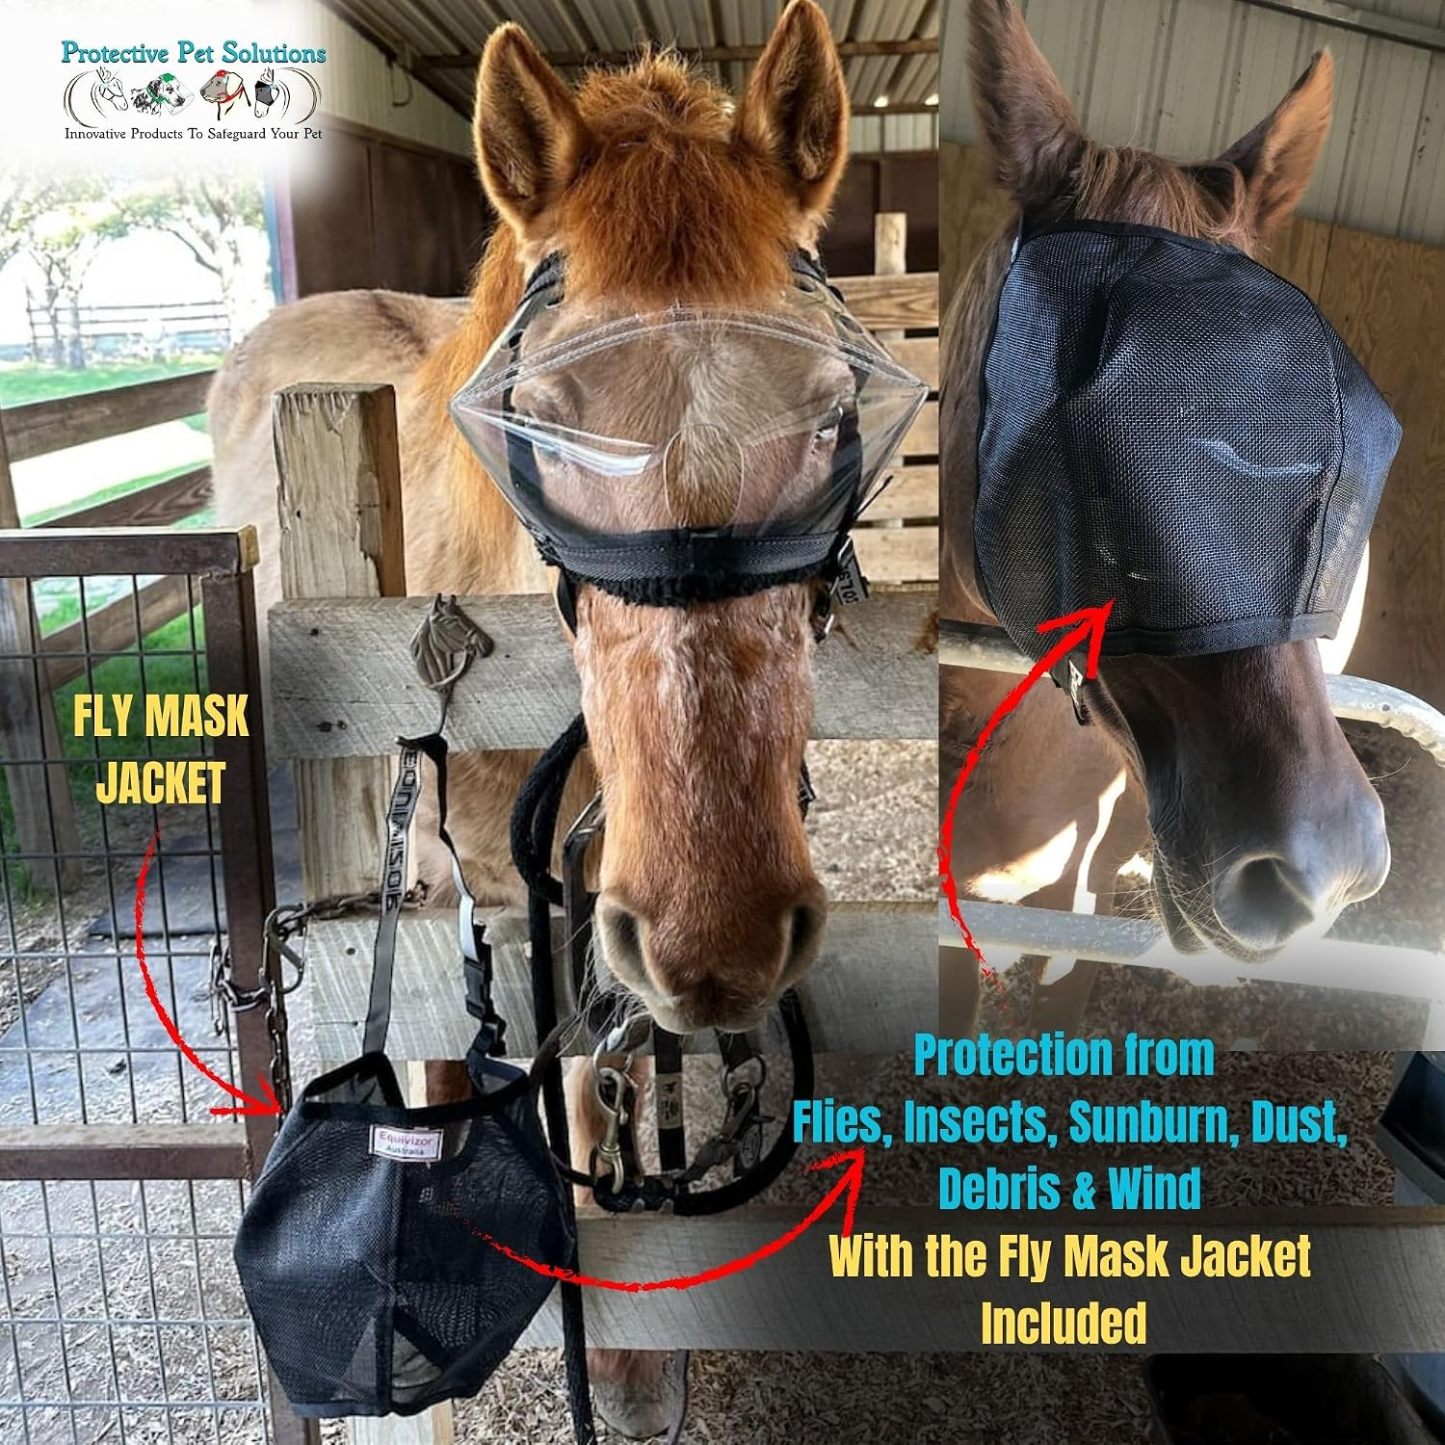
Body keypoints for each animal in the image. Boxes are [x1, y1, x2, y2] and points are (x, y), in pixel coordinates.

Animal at [210, 2, 851, 1430]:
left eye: (836, 407)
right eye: (540, 420)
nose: (722, 927)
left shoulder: (594, 891)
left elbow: (598, 1072)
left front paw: (625, 1357)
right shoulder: (467, 907)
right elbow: (454, 1058)